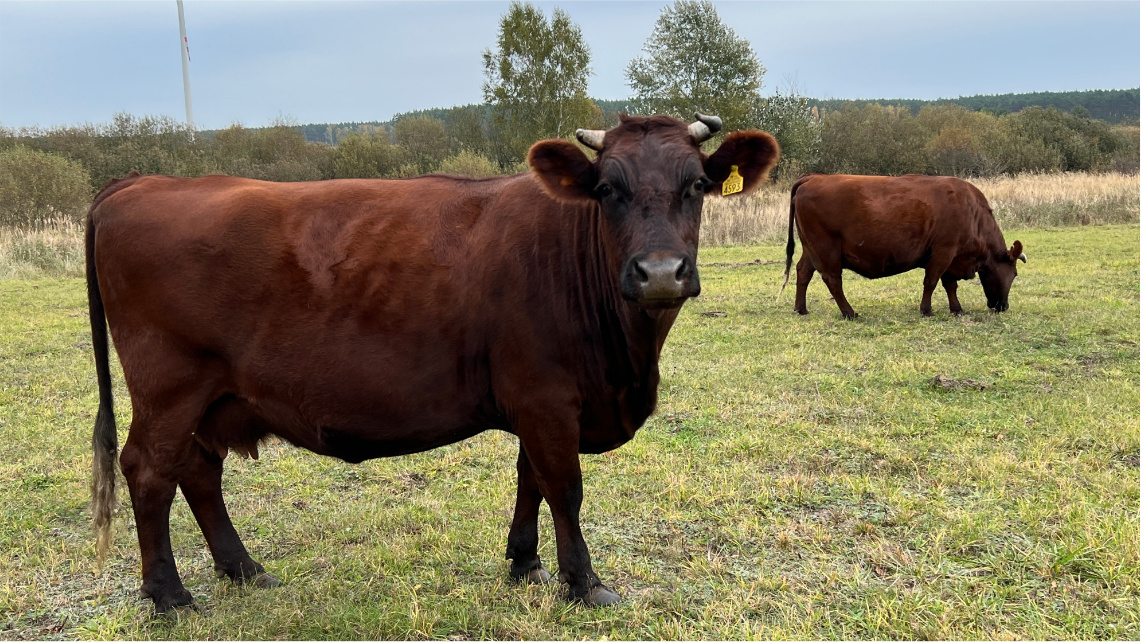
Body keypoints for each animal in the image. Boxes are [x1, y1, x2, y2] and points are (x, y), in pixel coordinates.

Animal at [86, 114, 785, 611]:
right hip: (170, 387)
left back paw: (244, 569)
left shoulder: (534, 400)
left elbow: (530, 477)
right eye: (608, 189)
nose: (661, 273)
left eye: (698, 185)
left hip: (212, 396)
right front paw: (583, 582)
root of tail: (141, 183)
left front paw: (524, 563)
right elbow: (564, 486)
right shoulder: (547, 397)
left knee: (198, 471)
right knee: (149, 470)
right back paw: (169, 594)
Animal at [780, 174, 1031, 317]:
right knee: (832, 280)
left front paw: (957, 309)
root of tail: (812, 178)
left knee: (803, 272)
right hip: (827, 250)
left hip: (810, 249)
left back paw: (801, 309)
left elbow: (950, 285)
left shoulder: (951, 257)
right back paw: (849, 312)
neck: (973, 212)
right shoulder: (944, 251)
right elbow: (932, 282)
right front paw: (926, 310)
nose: (1003, 306)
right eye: (1015, 274)